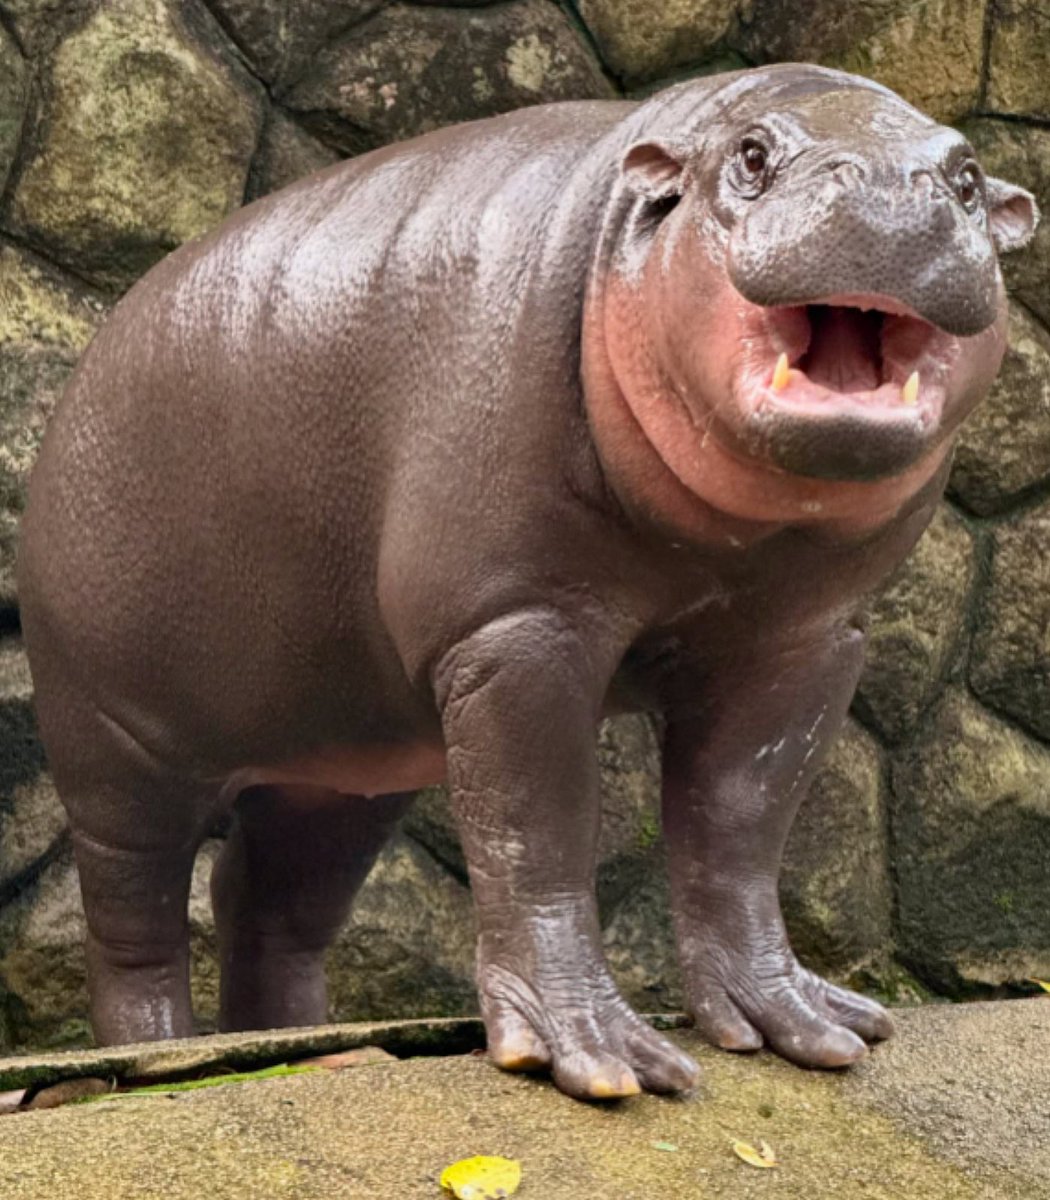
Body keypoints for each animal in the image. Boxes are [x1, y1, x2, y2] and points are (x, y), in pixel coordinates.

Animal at [18, 64, 1037, 1100]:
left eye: (967, 176)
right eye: (751, 155)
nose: (890, 189)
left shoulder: (806, 639)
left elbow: (742, 823)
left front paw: (805, 1026)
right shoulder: (517, 624)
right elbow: (536, 828)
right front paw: (602, 1062)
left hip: (345, 759)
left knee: (269, 900)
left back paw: (312, 1048)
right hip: (113, 741)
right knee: (134, 911)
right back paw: (153, 1062)